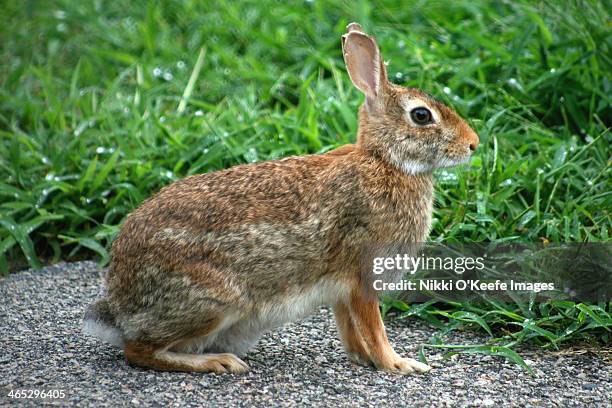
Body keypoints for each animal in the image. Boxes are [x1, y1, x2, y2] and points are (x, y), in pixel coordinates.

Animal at [83, 20, 480, 374]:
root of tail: (119, 306)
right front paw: (399, 364)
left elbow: (349, 325)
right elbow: (374, 327)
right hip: (215, 301)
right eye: (421, 115)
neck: (385, 161)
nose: (473, 144)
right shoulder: (363, 271)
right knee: (139, 350)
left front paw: (361, 358)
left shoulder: (340, 289)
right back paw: (217, 362)